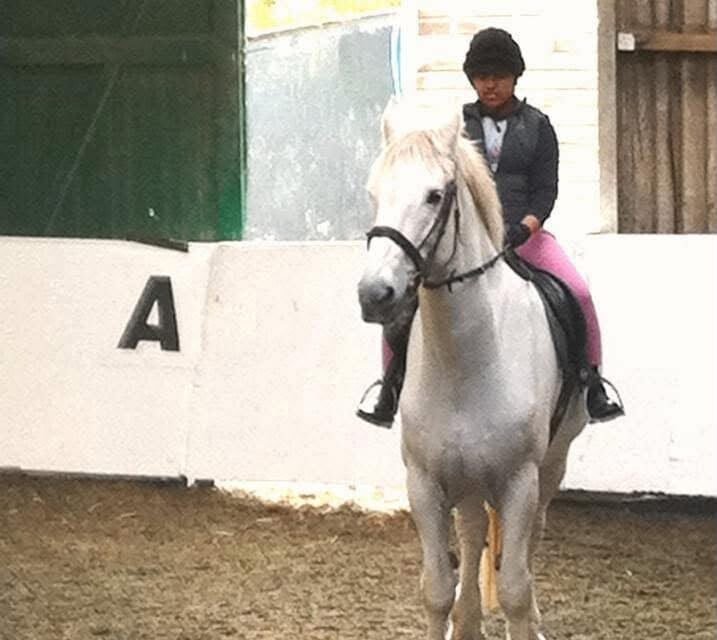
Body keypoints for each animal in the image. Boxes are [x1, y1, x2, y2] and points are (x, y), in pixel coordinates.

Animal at [357, 100, 589, 640]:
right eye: (375, 193)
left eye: (434, 195)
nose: (375, 295)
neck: (465, 360)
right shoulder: (424, 482)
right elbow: (437, 588)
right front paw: (457, 617)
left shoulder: (519, 481)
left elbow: (516, 587)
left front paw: (525, 621)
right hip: (463, 477)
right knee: (473, 529)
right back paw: (467, 623)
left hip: (553, 462)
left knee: (529, 539)